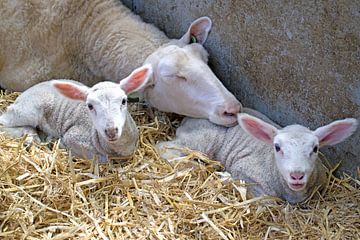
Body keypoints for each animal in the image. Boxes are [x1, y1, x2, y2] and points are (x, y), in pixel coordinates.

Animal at [0, 64, 152, 162]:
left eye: (124, 101)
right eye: (90, 106)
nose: (111, 131)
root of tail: (26, 92)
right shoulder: (74, 136)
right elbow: (101, 158)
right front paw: (55, 143)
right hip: (28, 109)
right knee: (4, 121)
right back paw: (30, 136)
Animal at [158, 110, 358, 202]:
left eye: (315, 148)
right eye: (277, 147)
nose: (297, 175)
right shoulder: (245, 169)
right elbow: (267, 201)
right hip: (201, 140)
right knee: (165, 148)